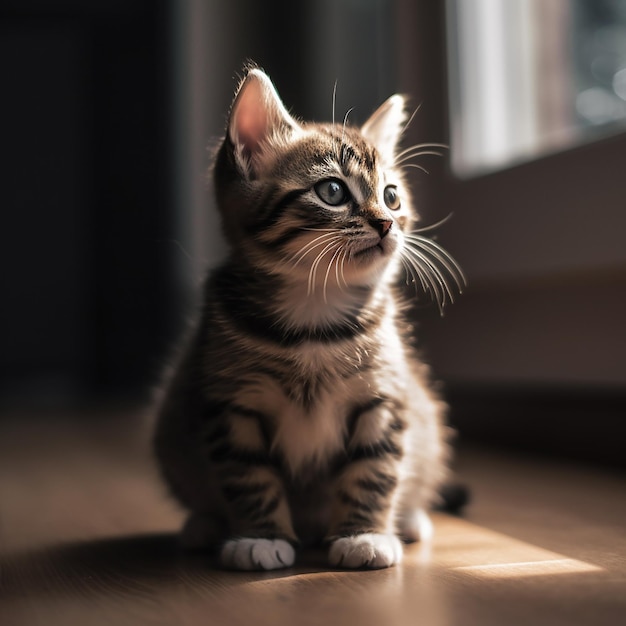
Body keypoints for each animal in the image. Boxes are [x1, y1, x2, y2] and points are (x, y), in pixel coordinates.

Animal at [153, 66, 460, 568]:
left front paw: (365, 534)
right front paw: (259, 537)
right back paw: (204, 524)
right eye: (332, 191)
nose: (386, 223)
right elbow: (248, 475)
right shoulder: (232, 404)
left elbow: (375, 467)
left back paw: (410, 519)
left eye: (392, 196)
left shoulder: (383, 396)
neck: (315, 317)